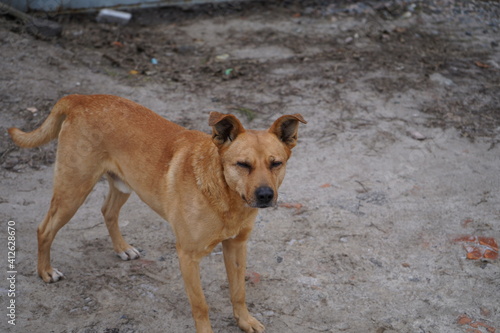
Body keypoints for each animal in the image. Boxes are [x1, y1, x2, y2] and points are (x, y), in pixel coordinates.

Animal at [8, 94, 304, 332]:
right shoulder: (188, 256)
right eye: (242, 165)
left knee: (108, 211)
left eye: (276, 164)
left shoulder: (236, 246)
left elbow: (238, 291)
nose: (266, 196)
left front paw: (245, 321)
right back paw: (45, 271)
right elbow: (201, 306)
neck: (225, 195)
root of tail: (81, 98)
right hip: (73, 191)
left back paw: (122, 248)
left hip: (123, 183)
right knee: (44, 229)